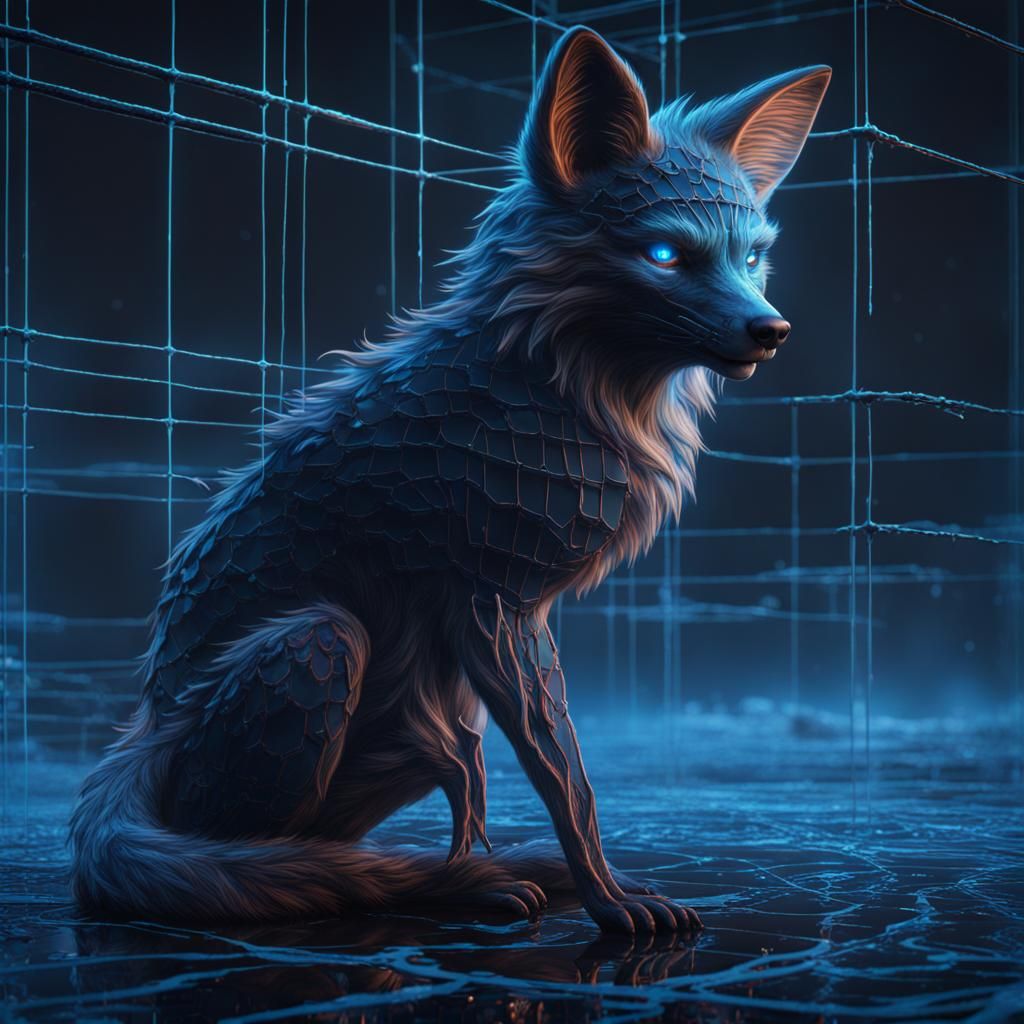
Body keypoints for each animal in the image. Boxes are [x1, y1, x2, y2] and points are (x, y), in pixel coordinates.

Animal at [69, 27, 829, 934]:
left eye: (752, 258)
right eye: (666, 254)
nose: (772, 329)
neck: (562, 379)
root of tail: (141, 727)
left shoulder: (491, 625)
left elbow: (524, 777)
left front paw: (573, 881)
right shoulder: (497, 603)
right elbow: (567, 780)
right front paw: (609, 900)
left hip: (426, 706)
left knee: (370, 820)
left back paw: (471, 873)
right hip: (320, 640)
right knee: (261, 855)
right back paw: (451, 885)